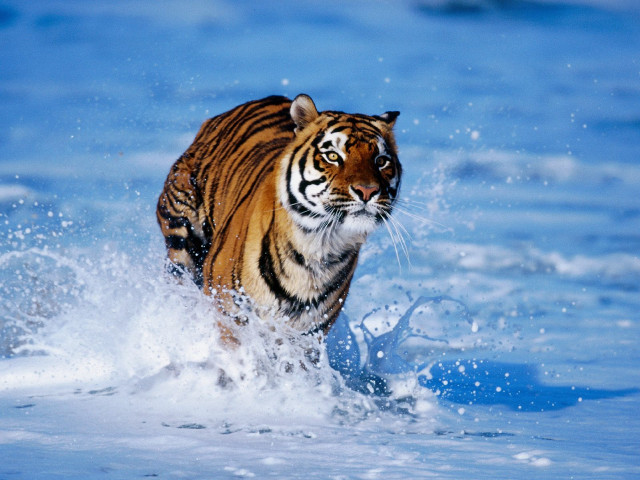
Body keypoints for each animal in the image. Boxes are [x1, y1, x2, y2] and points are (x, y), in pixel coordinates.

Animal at [156, 94, 401, 338]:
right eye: (332, 156)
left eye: (381, 161)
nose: (367, 191)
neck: (318, 248)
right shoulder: (230, 315)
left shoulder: (308, 333)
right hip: (182, 239)